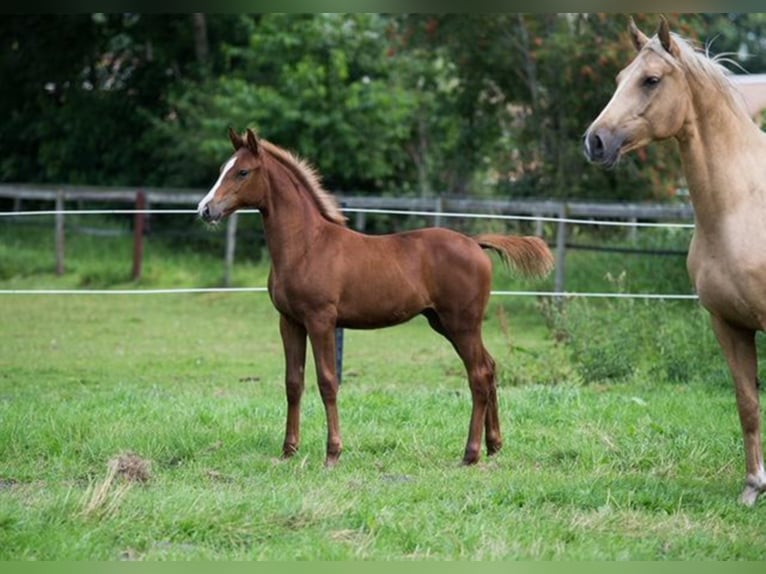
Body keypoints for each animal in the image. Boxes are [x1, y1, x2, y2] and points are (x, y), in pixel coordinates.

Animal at [201, 129, 556, 468]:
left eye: (243, 172)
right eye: (221, 170)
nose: (205, 209)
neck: (307, 245)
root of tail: (475, 243)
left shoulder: (321, 320)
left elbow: (327, 382)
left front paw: (333, 453)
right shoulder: (289, 321)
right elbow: (293, 383)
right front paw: (288, 451)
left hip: (462, 323)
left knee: (479, 375)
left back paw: (470, 454)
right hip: (445, 323)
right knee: (490, 367)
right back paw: (494, 446)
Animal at [588, 15, 766, 506]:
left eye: (651, 80)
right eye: (619, 78)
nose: (595, 141)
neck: (740, 208)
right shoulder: (727, 324)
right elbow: (747, 403)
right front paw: (753, 486)